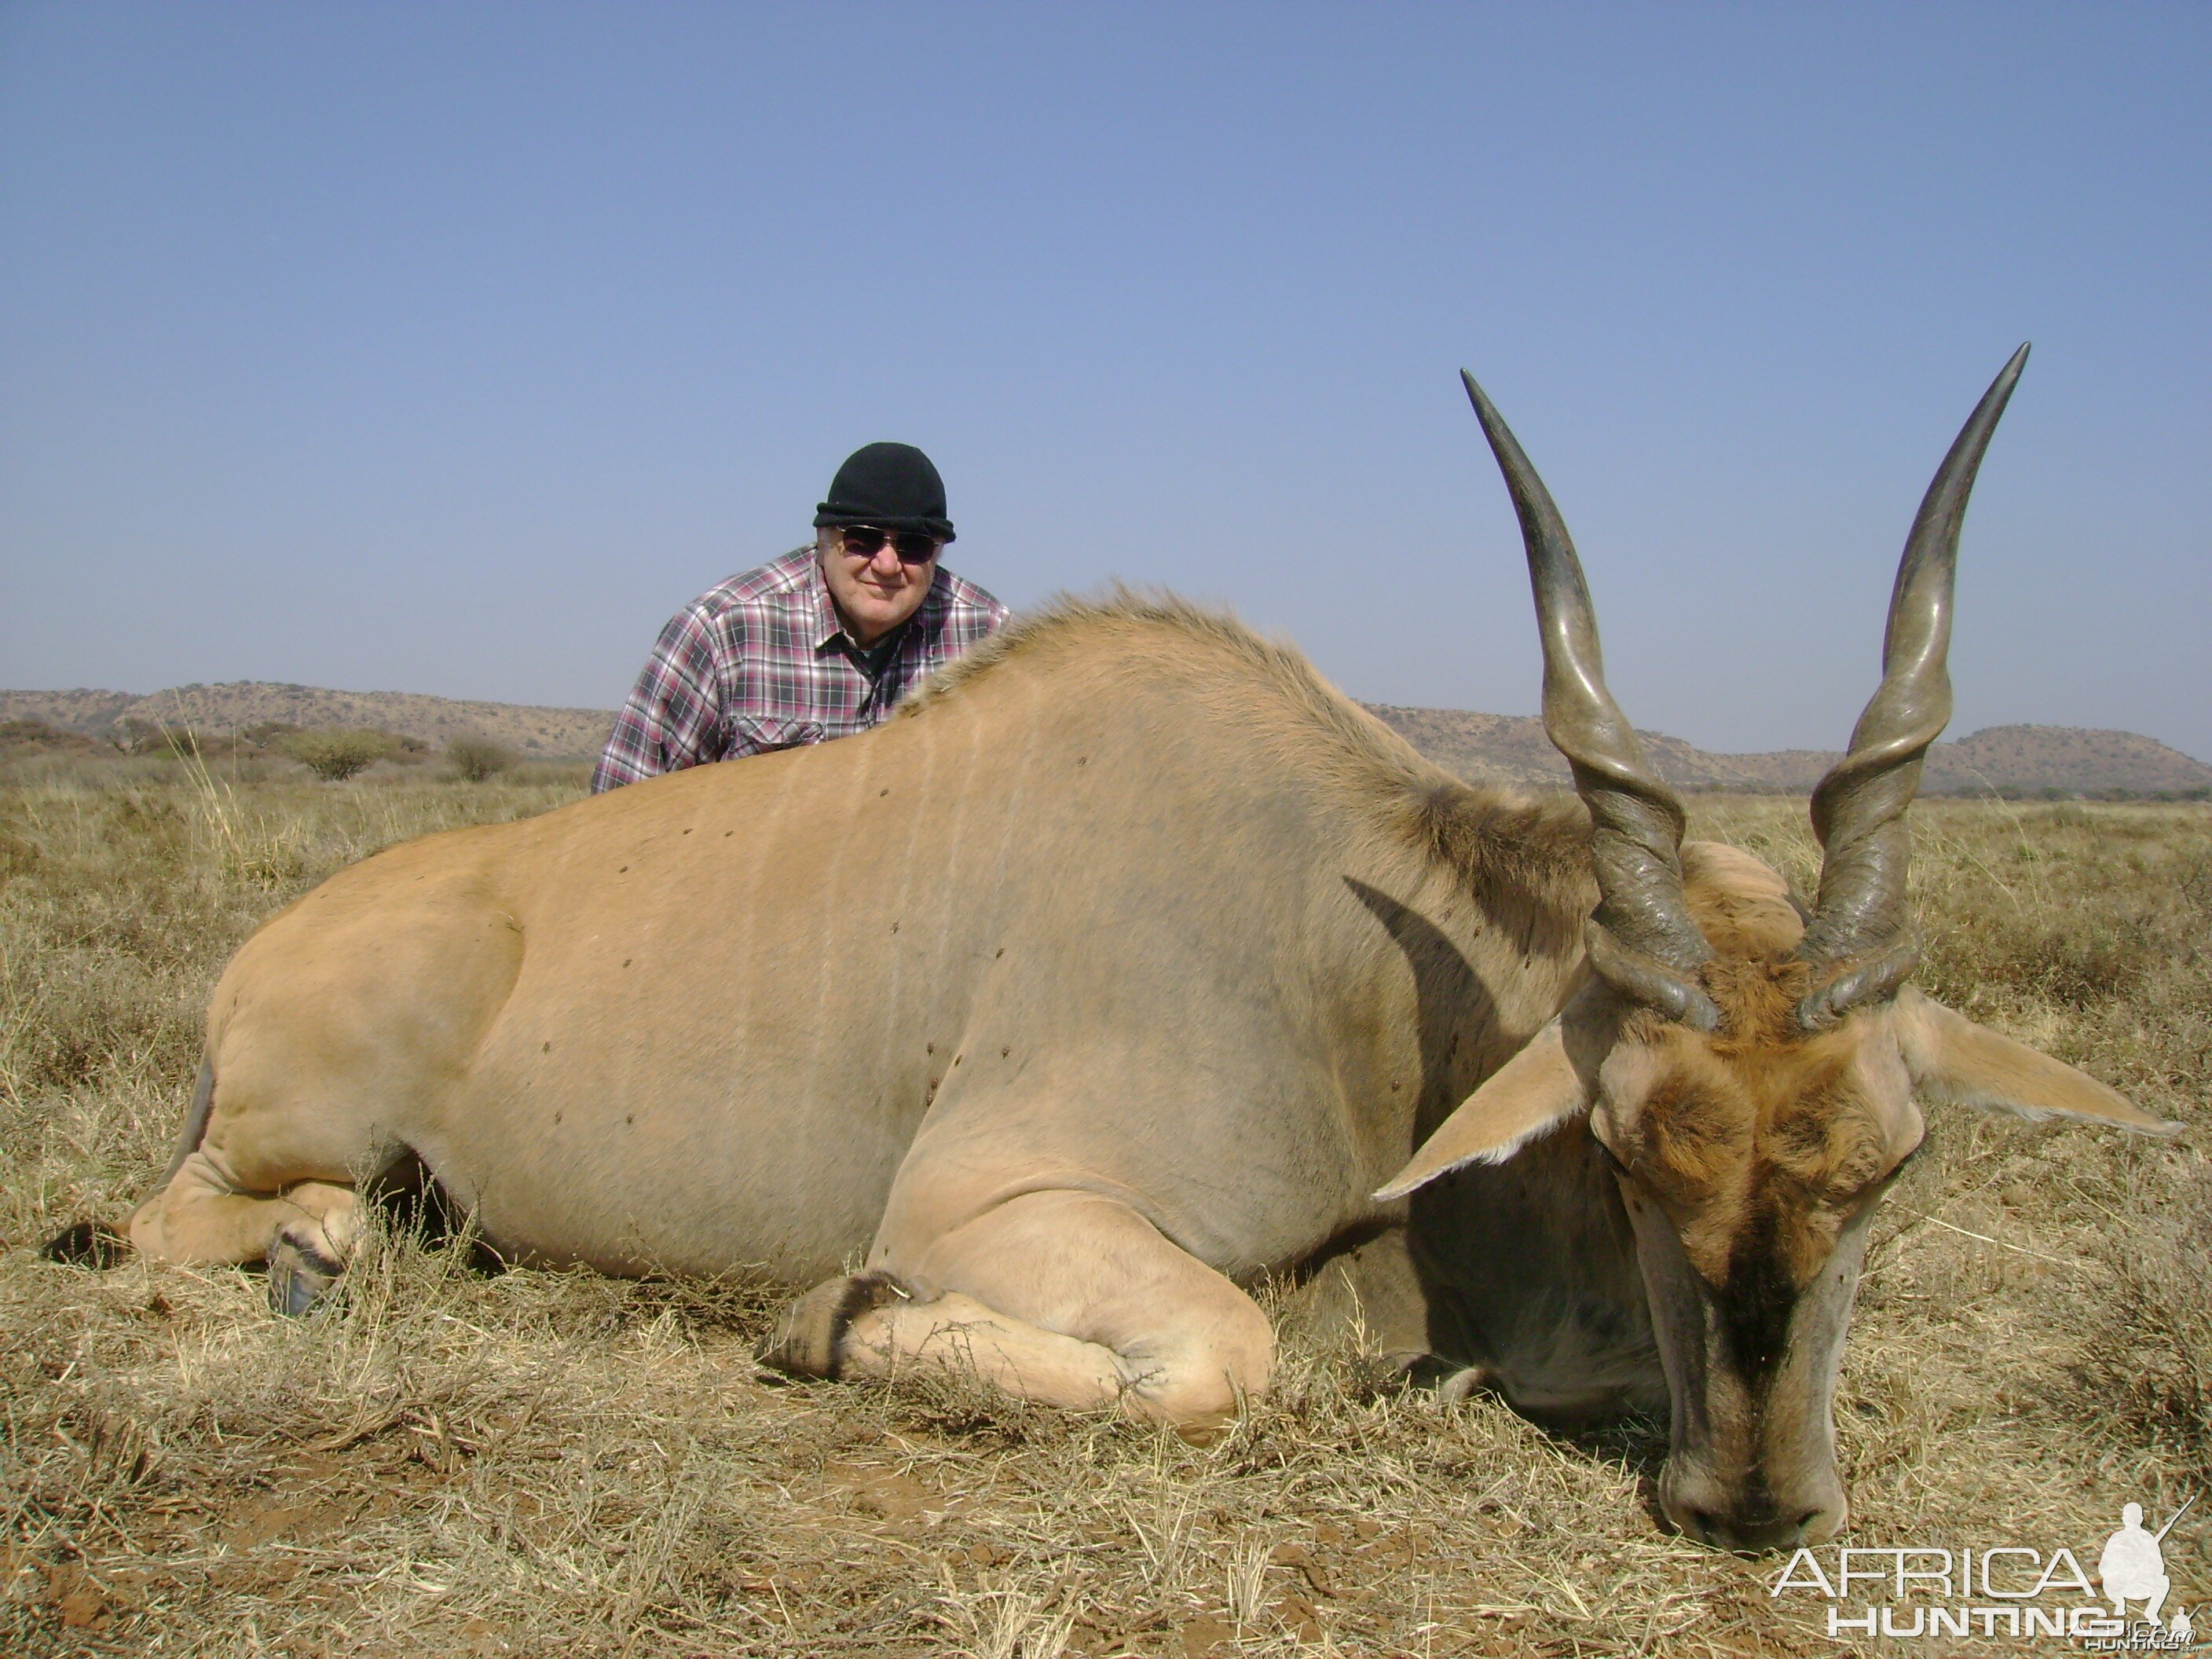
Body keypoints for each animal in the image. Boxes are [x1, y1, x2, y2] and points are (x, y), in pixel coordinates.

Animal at [73, 351, 2176, 1557]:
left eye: (1892, 1167)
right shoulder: (990, 1200)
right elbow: (1227, 1355)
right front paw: (830, 1322)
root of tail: (257, 960)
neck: (1345, 953)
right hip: (280, 1135)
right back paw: (315, 1251)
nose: (1755, 1505)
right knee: (190, 1223)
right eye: (1633, 1153)